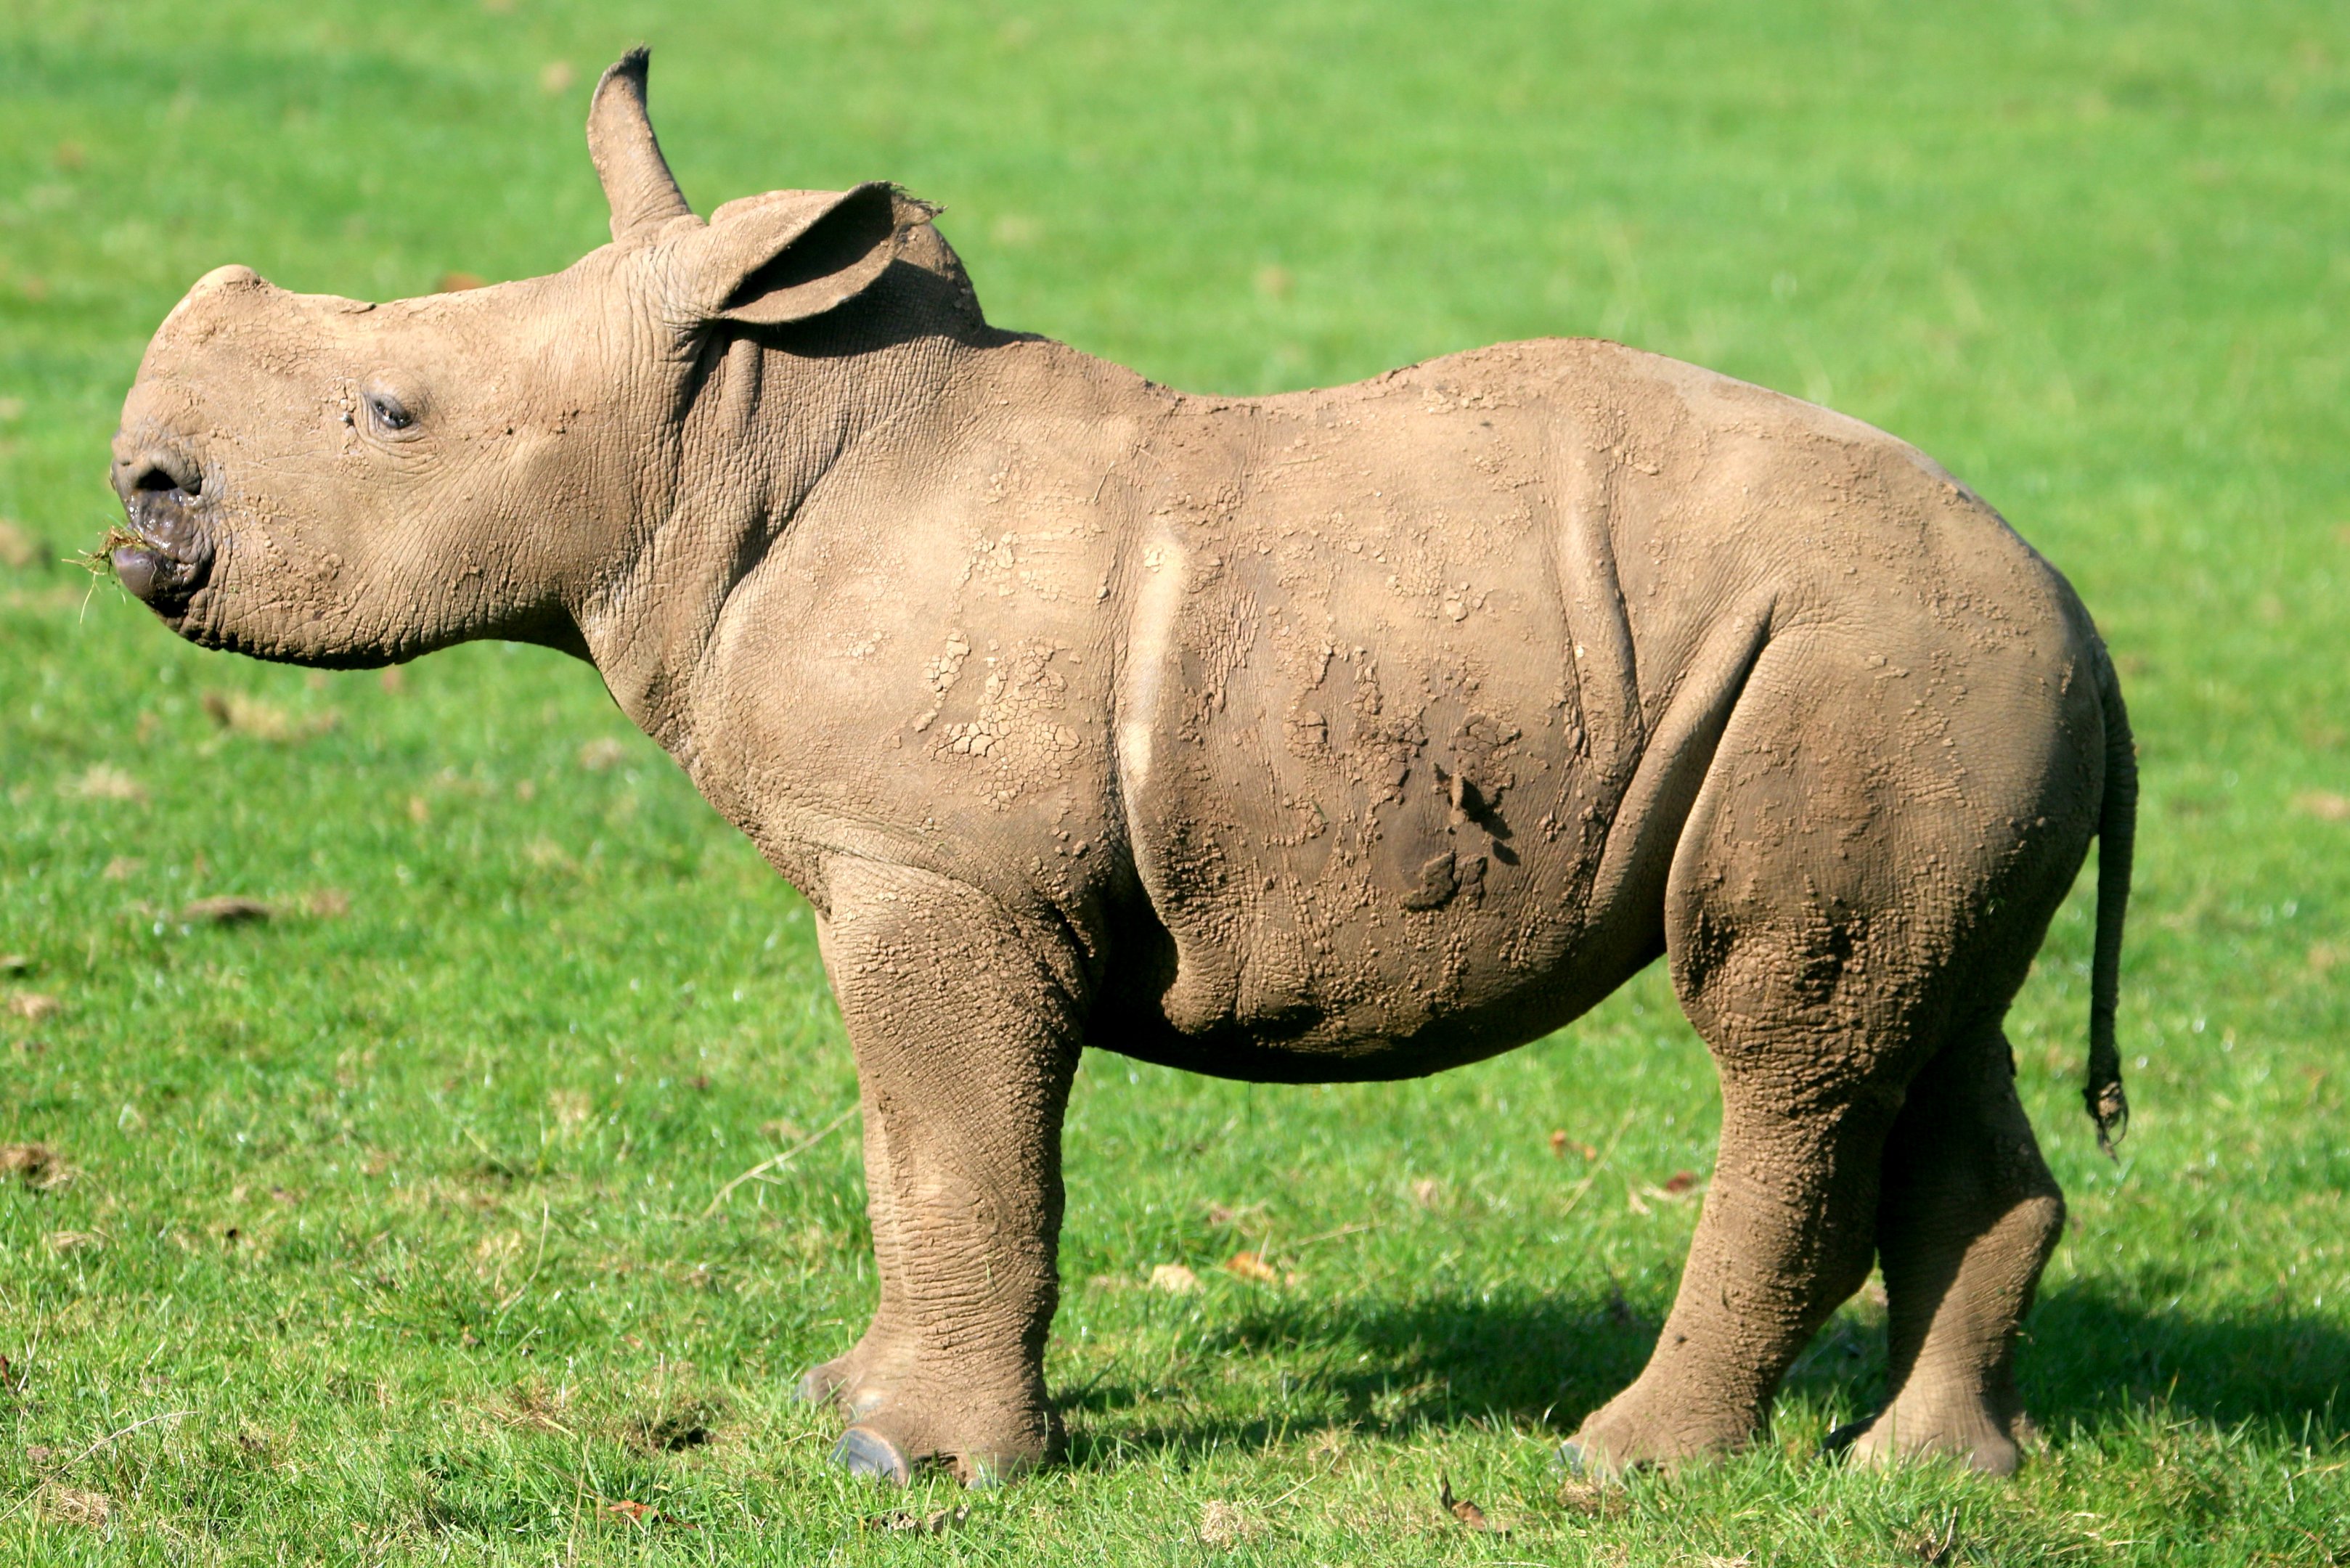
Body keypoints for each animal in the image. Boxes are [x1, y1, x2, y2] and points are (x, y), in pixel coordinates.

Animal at [108, 51, 2133, 1485]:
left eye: (389, 413)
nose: (137, 494)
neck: (730, 442)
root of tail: (2086, 617)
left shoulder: (947, 879)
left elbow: (960, 1150)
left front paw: (908, 1462)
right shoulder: (893, 874)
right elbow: (902, 1143)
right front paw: (845, 1392)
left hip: (1866, 666)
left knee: (1788, 1052)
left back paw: (1621, 1469)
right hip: (1938, 694)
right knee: (1918, 1024)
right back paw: (1921, 1471)